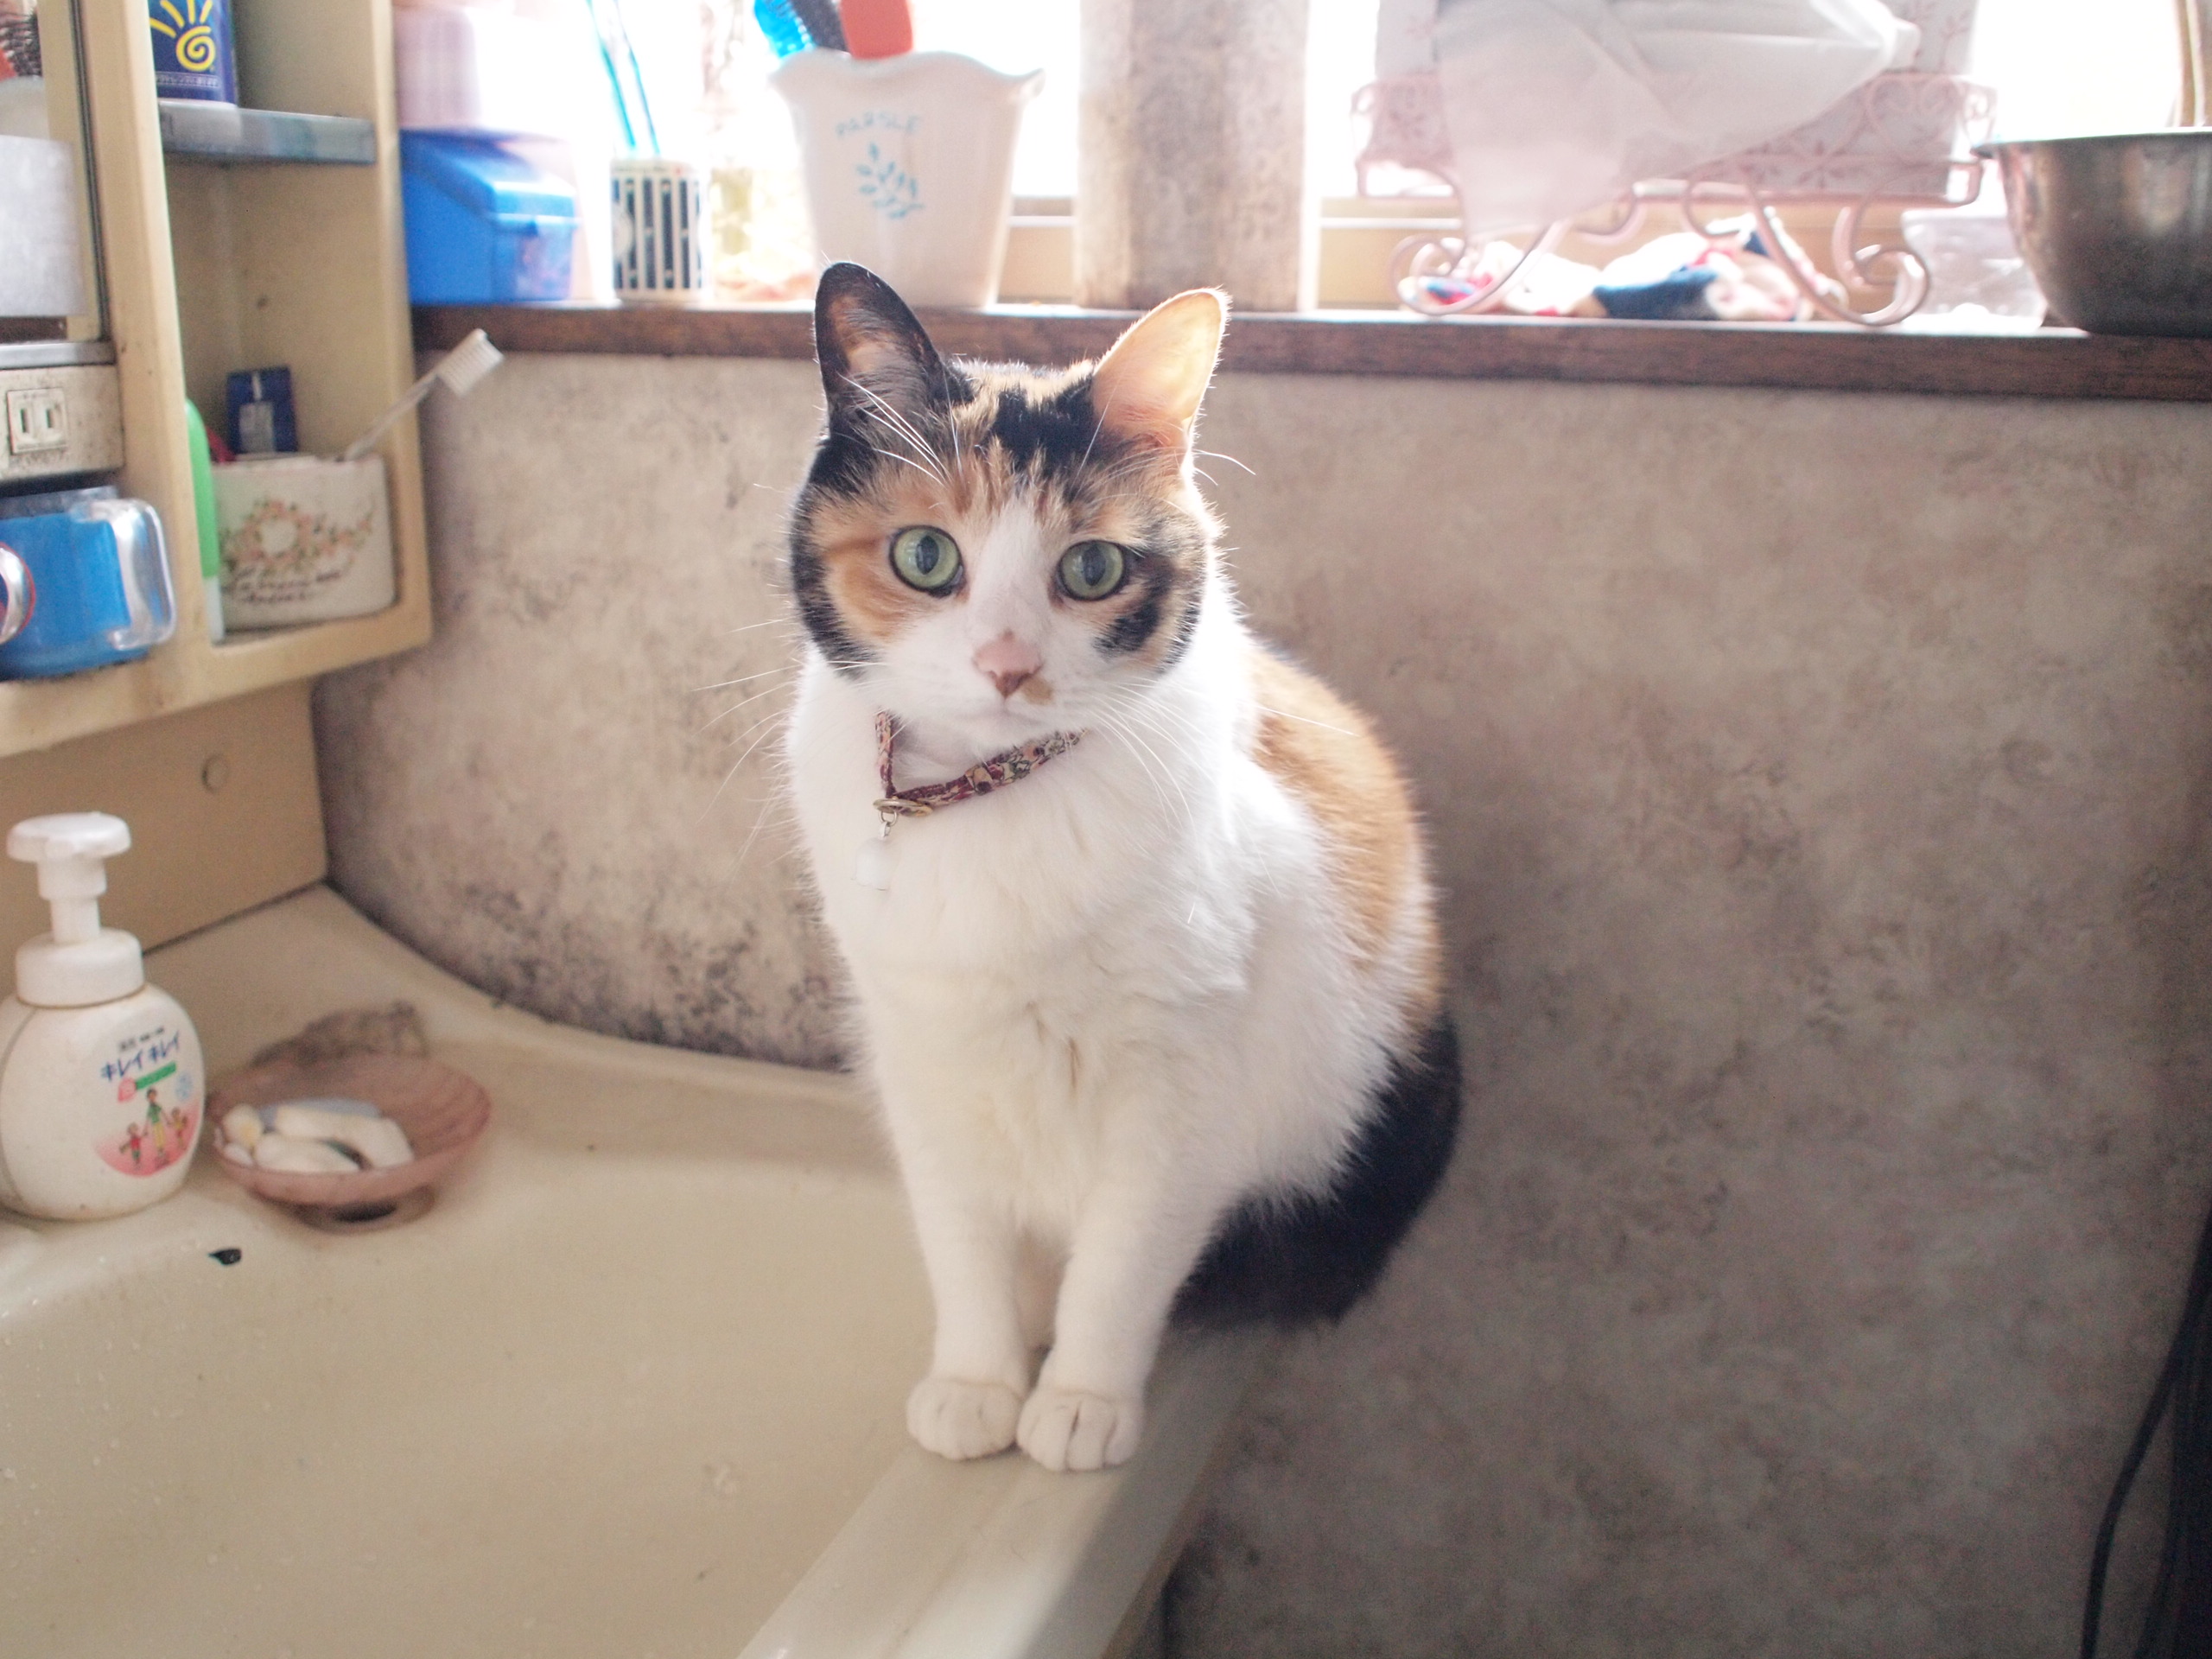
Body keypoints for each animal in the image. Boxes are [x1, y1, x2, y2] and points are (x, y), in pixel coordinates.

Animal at [782, 263, 1461, 1473]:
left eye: (1090, 568)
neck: (989, 800)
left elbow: (1125, 1259)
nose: (1008, 666)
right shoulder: (923, 1060)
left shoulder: (1181, 1091)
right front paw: (976, 1382)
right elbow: (958, 1238)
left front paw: (1079, 1403)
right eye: (925, 556)